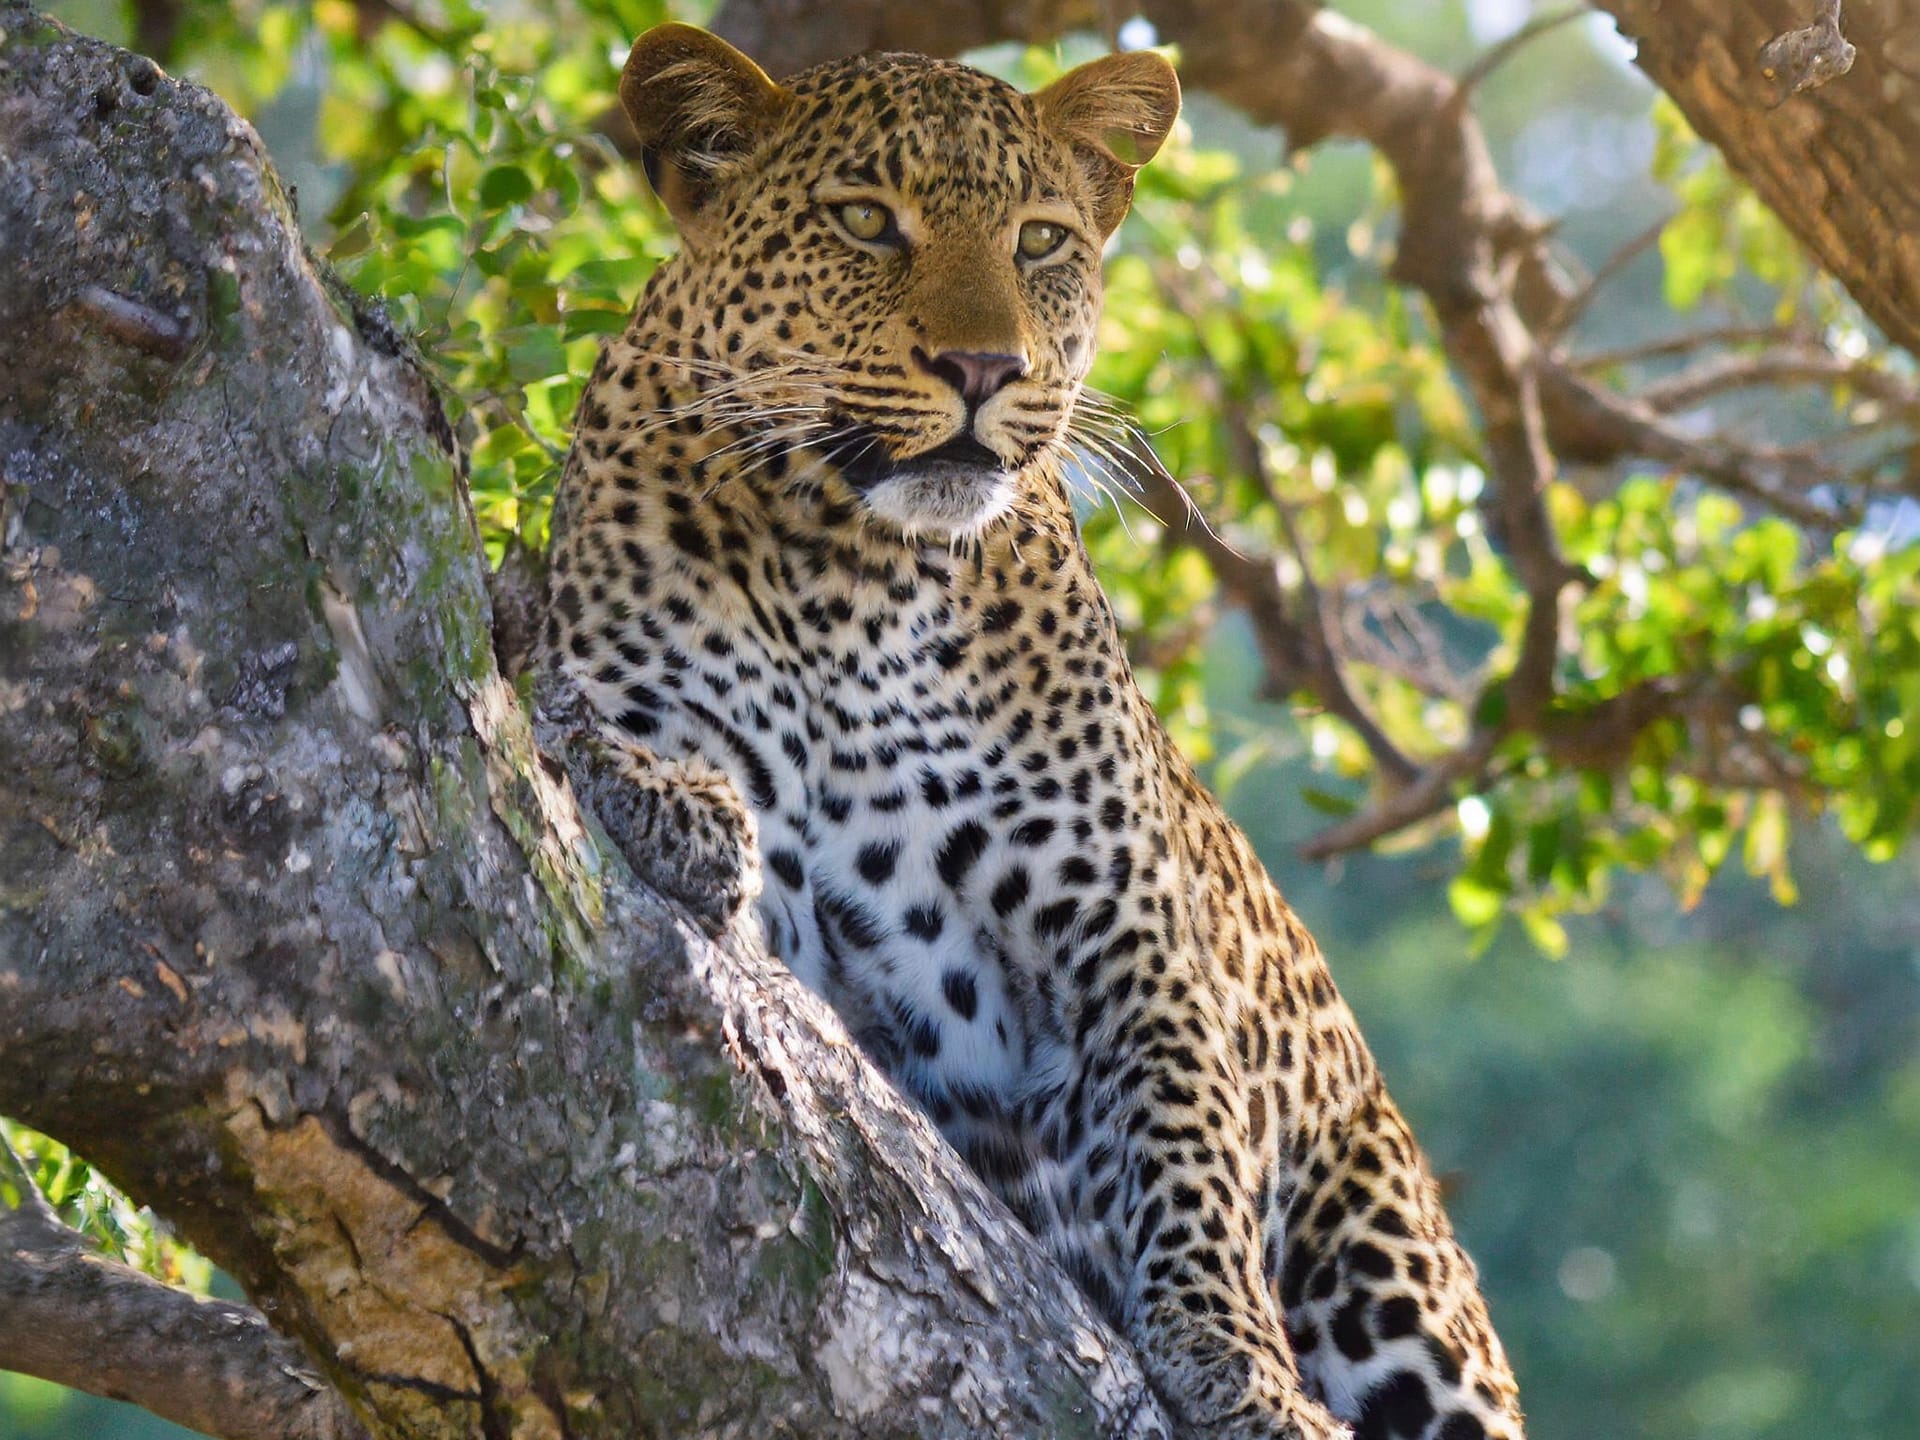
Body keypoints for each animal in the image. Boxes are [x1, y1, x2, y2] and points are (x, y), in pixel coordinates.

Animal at [545, 22, 1528, 1440]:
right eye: (865, 220)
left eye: (1042, 240)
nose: (984, 371)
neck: (859, 577)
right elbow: (624, 742)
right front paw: (664, 796)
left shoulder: (1130, 934)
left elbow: (1187, 1148)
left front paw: (1238, 1368)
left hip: (1399, 1266)